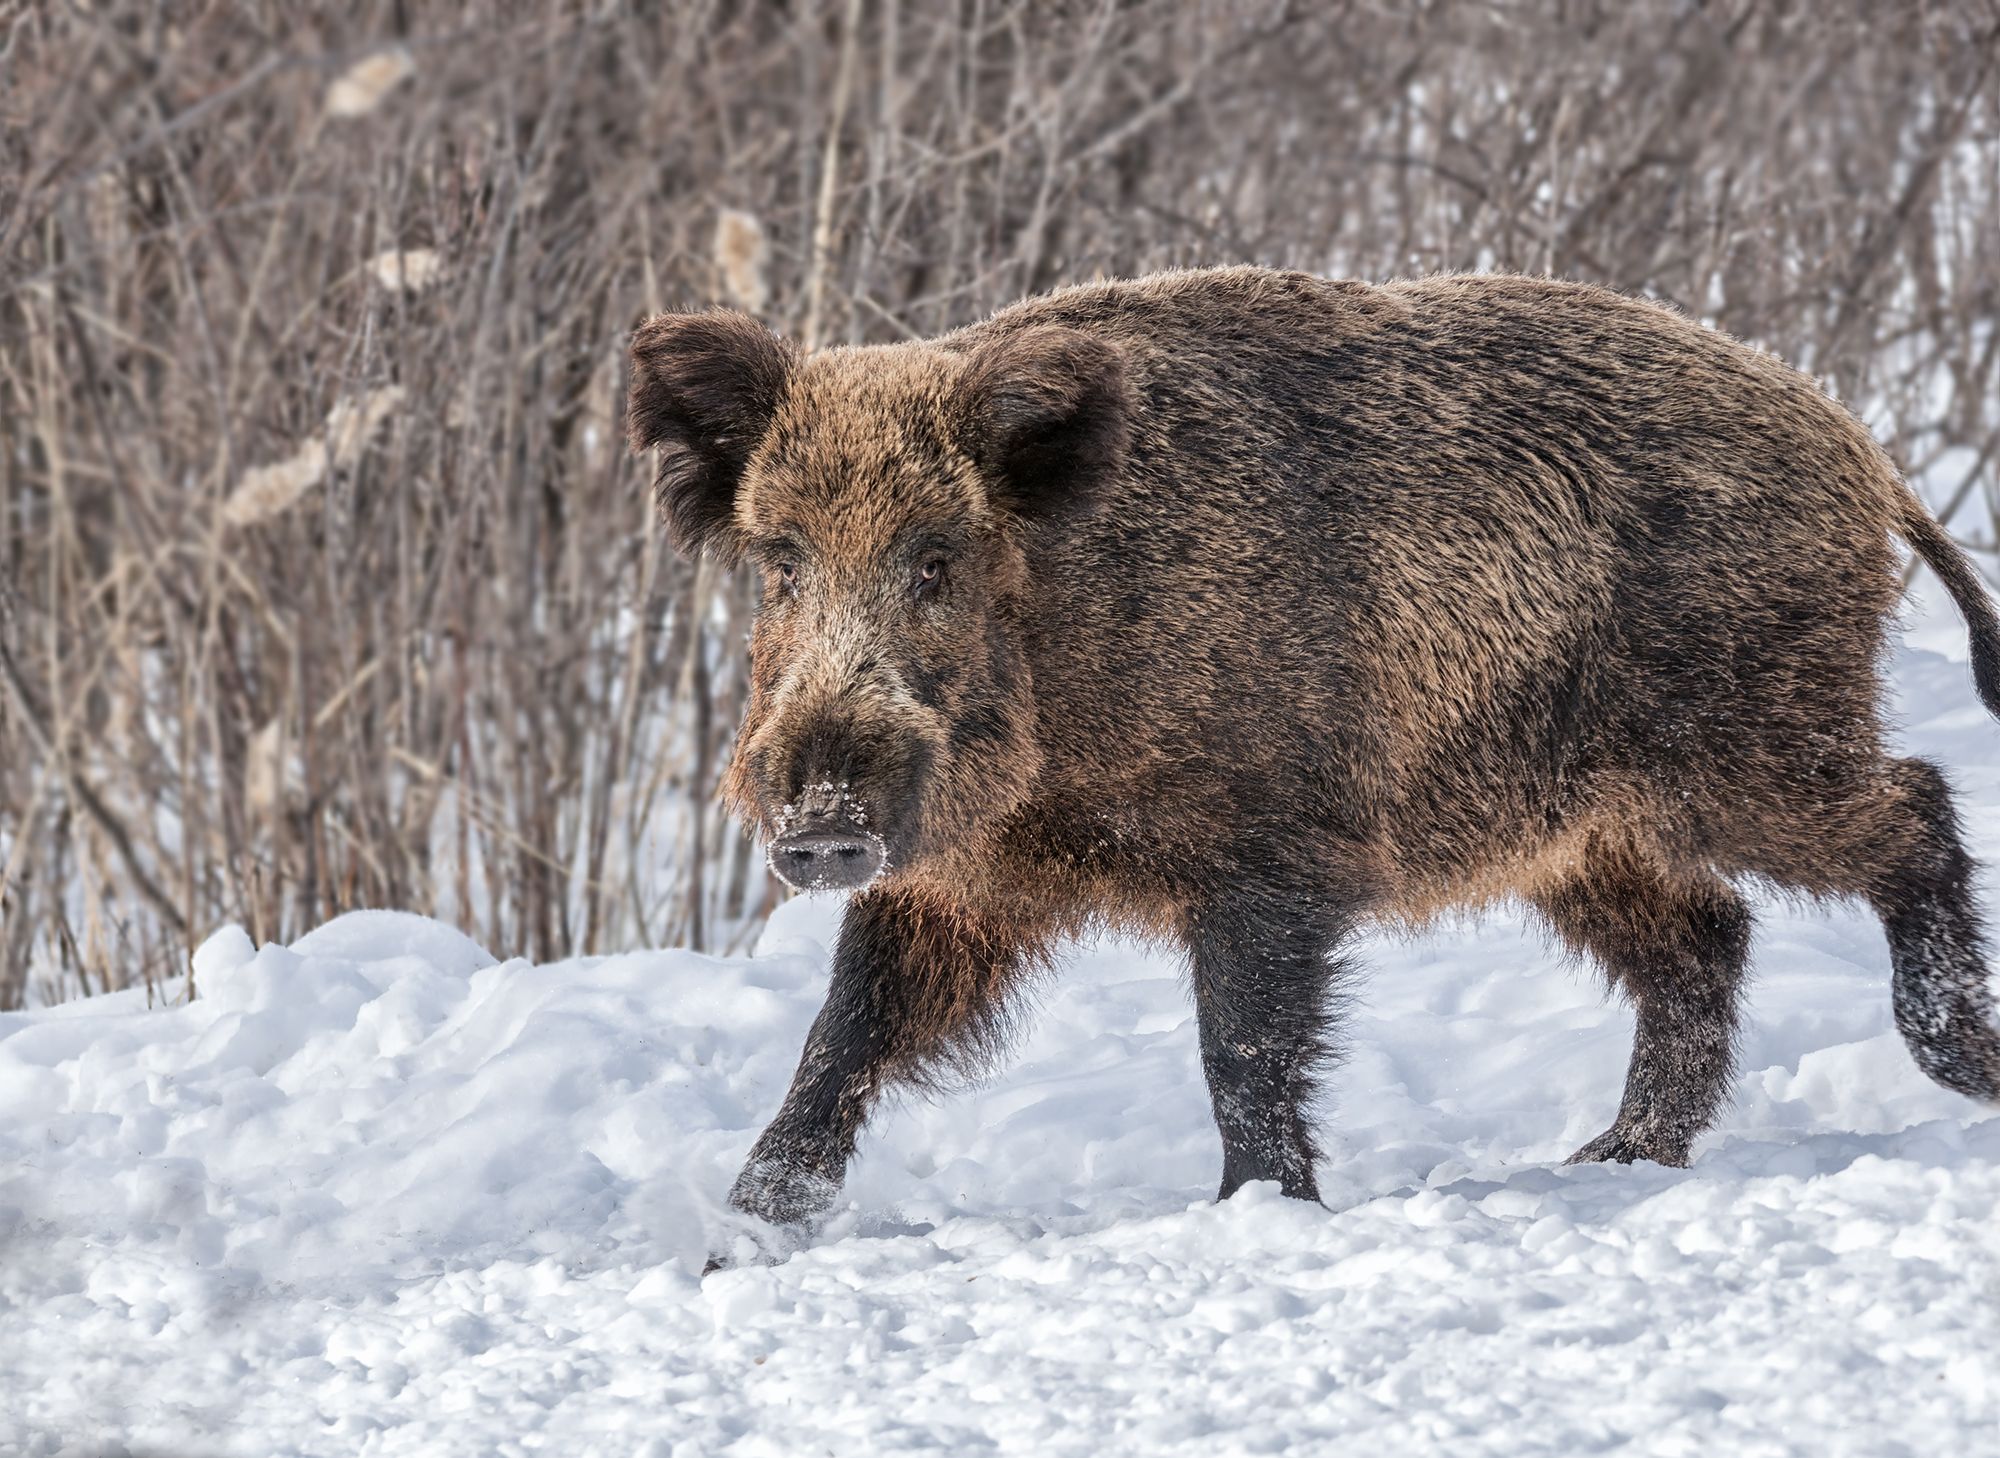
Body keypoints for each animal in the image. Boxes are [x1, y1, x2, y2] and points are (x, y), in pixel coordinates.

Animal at [626, 266, 2000, 1266]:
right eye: (781, 561)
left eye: (934, 558)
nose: (819, 823)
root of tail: (1850, 440)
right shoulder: (953, 886)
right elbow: (841, 1038)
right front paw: (736, 1246)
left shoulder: (1269, 855)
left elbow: (1238, 1046)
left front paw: (1257, 1212)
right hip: (1576, 826)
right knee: (1706, 934)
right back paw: (1607, 1160)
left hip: (1747, 740)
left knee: (1908, 809)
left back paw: (1957, 1067)